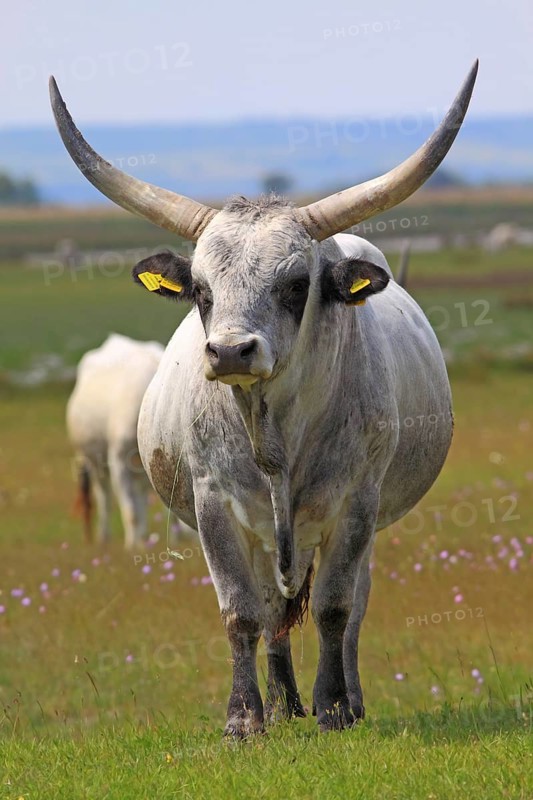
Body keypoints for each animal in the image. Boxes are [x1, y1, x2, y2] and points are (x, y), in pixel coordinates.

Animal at [67, 333, 164, 549]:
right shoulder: (118, 460)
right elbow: (130, 510)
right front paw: (132, 545)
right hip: (94, 460)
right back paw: (104, 536)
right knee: (104, 497)